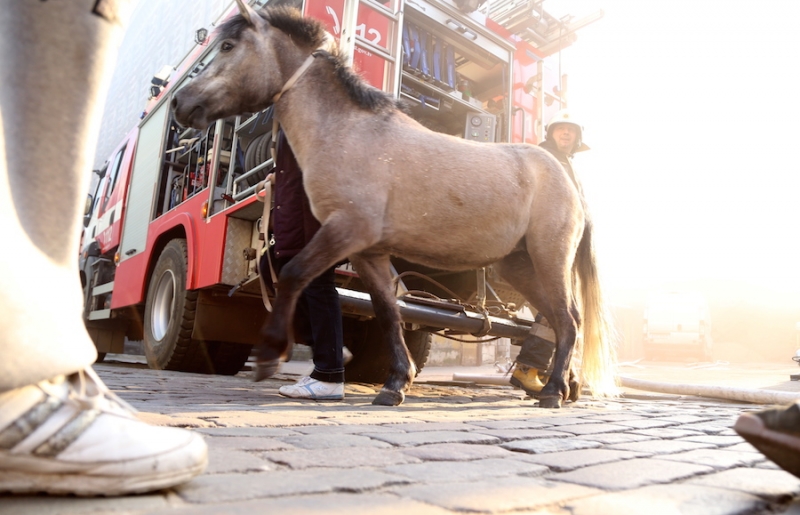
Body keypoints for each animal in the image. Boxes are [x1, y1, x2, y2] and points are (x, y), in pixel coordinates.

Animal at [172, 1, 618, 408]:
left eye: (228, 45)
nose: (180, 104)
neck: (348, 131)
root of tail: (567, 179)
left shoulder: (345, 230)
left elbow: (295, 273)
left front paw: (267, 357)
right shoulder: (368, 251)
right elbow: (389, 311)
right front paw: (395, 383)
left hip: (549, 257)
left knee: (566, 319)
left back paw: (553, 391)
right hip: (520, 264)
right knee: (566, 320)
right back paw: (565, 387)